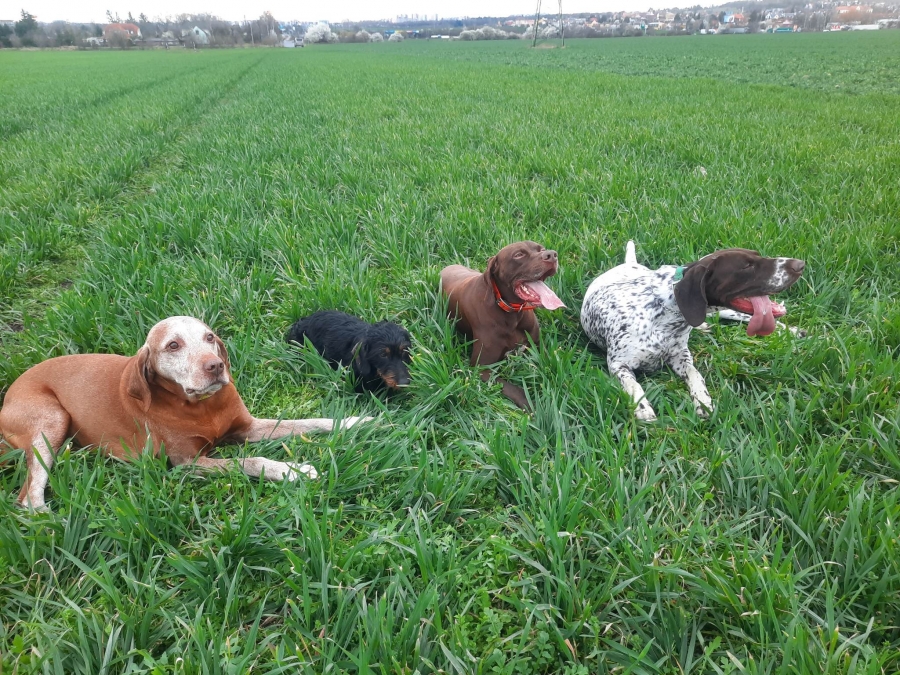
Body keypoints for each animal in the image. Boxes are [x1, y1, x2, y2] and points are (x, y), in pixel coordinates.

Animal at [0, 316, 372, 511]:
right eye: (173, 346)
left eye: (209, 337)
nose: (216, 366)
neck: (203, 407)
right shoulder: (187, 463)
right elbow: (249, 461)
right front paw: (292, 470)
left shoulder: (248, 427)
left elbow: (308, 422)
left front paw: (355, 421)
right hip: (51, 420)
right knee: (28, 495)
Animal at [440, 241, 565, 410]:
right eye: (518, 255)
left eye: (542, 249)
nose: (552, 254)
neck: (511, 312)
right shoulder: (481, 368)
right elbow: (515, 389)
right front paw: (532, 405)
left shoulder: (538, 347)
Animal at [580, 241, 805, 421]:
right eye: (747, 265)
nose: (800, 265)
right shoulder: (619, 365)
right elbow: (633, 385)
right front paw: (642, 407)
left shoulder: (682, 357)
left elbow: (696, 375)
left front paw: (703, 401)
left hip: (727, 311)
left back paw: (794, 331)